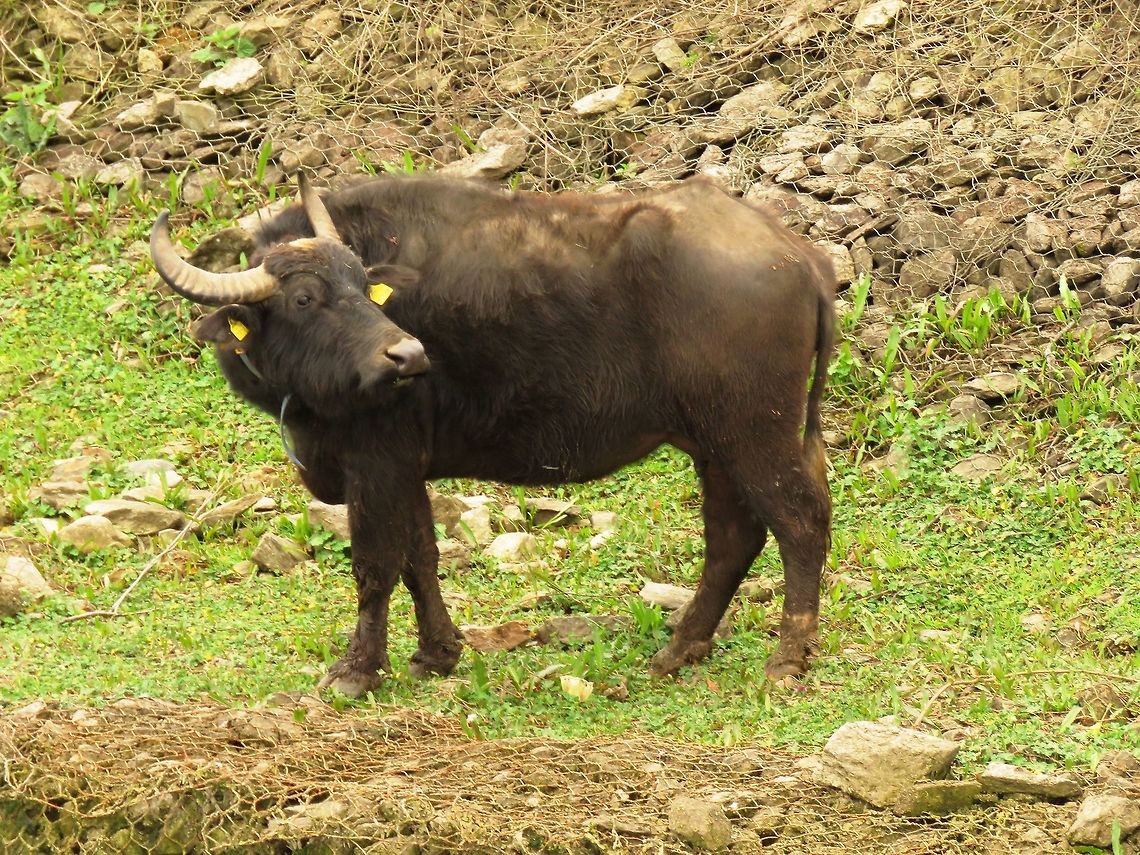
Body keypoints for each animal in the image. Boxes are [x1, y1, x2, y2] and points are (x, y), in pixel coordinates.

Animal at [150, 173, 835, 697]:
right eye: (304, 298)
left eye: (360, 285)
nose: (407, 356)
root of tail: (800, 258)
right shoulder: (407, 466)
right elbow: (420, 557)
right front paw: (437, 653)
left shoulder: (376, 461)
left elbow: (374, 565)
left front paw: (355, 672)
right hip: (715, 444)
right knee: (733, 538)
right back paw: (680, 649)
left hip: (754, 433)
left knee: (800, 524)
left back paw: (785, 659)